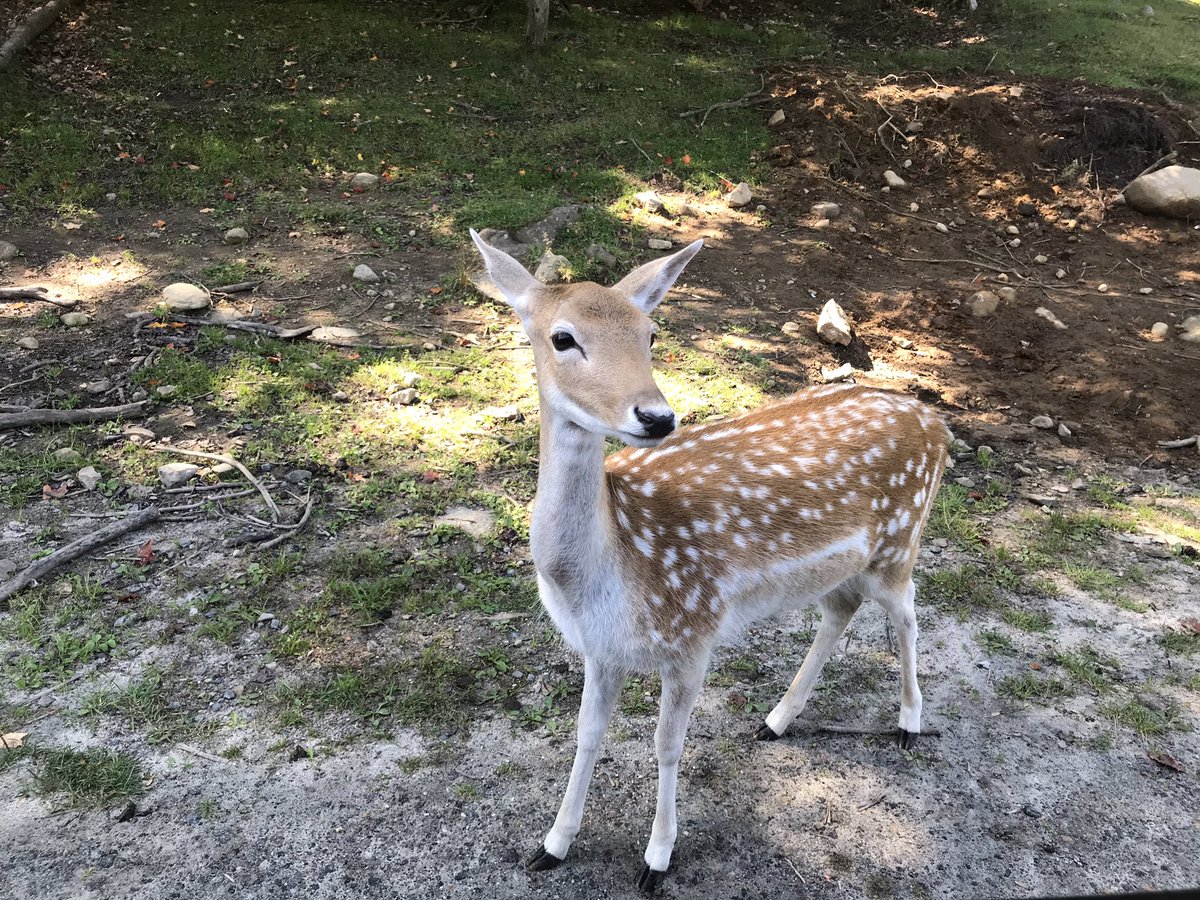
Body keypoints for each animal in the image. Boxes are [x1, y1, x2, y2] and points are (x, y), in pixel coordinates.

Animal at [470, 229, 951, 894]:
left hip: (900, 539)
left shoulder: (694, 634)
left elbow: (667, 745)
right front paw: (553, 844)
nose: (657, 416)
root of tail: (938, 423)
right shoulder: (599, 649)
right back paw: (776, 719)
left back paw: (908, 723)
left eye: (650, 334)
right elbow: (586, 738)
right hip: (846, 564)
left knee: (905, 612)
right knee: (841, 608)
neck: (606, 571)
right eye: (562, 337)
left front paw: (657, 860)